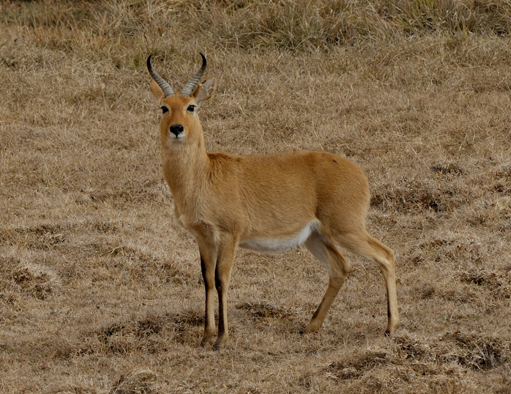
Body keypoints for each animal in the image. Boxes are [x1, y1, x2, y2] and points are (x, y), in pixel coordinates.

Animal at [148, 53, 400, 350]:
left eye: (192, 106)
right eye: (164, 107)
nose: (177, 129)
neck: (203, 175)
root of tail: (359, 173)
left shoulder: (229, 235)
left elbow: (222, 280)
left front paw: (221, 338)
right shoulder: (203, 237)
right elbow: (207, 280)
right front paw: (206, 337)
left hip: (346, 229)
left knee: (386, 255)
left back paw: (390, 327)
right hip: (315, 236)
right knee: (341, 268)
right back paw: (309, 327)